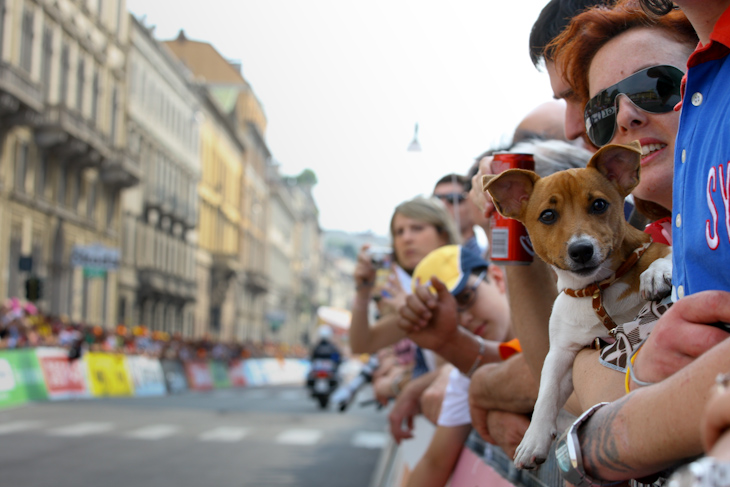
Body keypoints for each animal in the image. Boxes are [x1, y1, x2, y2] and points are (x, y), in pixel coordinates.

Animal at [484, 140, 672, 468]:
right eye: (548, 215)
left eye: (598, 205)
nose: (581, 250)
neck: (597, 290)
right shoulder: (563, 352)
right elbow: (545, 393)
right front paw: (533, 440)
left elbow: (670, 254)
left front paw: (657, 271)